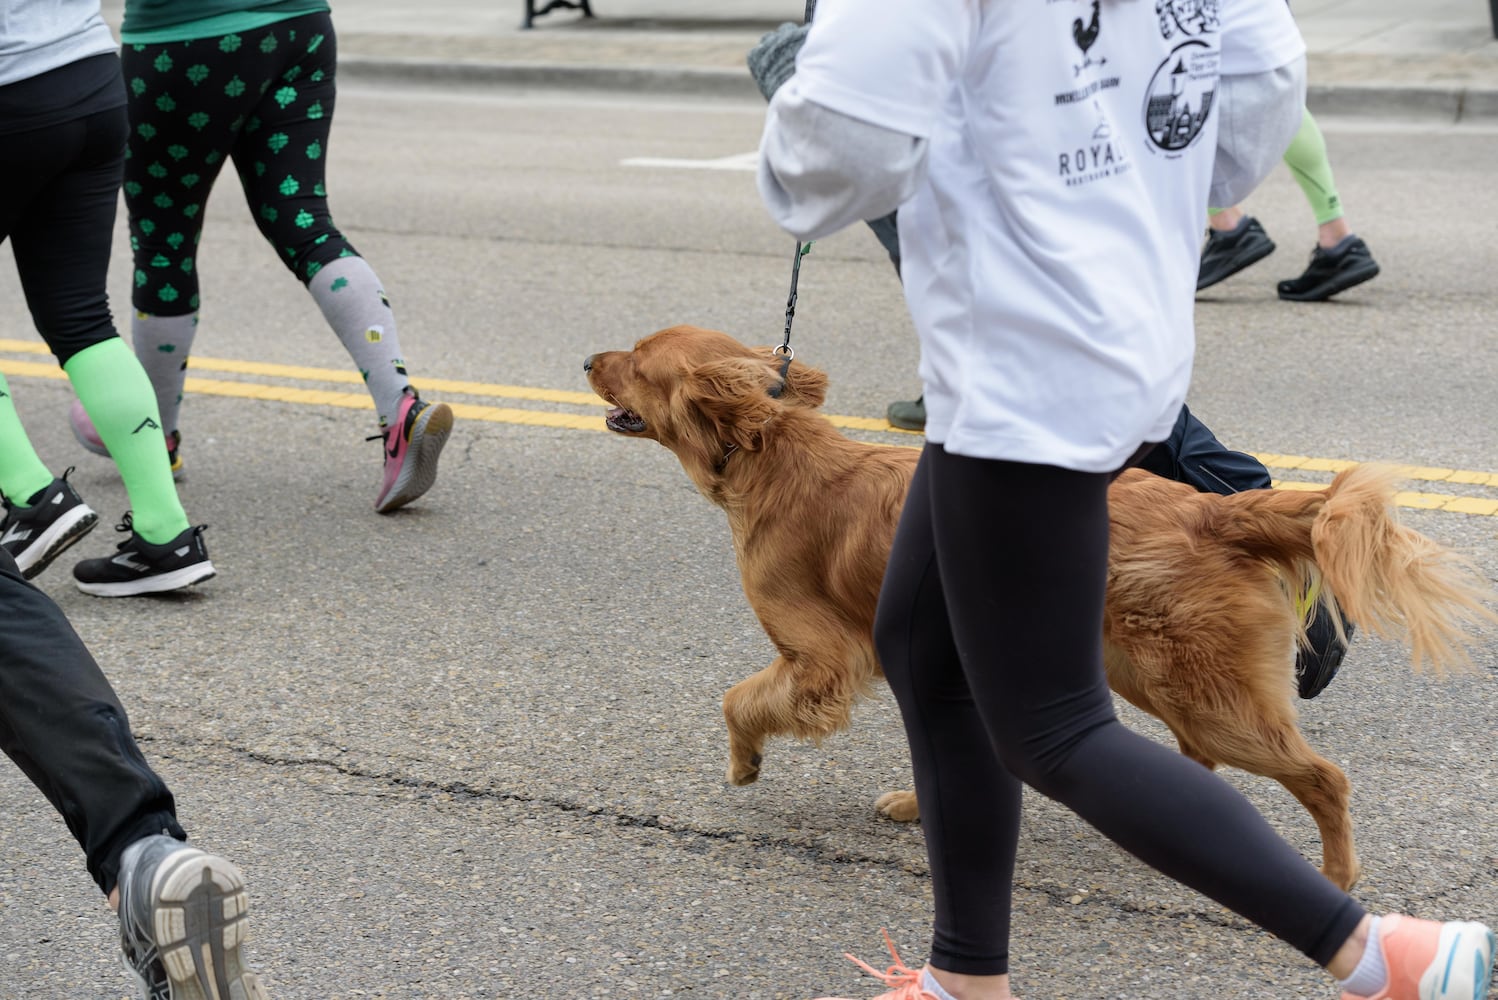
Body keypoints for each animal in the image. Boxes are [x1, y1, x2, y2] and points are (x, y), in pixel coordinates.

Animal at [584, 321, 1498, 892]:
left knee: (1324, 777)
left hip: (1202, 688)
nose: (589, 357)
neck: (769, 453)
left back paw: (1338, 877)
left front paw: (744, 764)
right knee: (1198, 763)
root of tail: (1214, 510)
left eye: (639, 358)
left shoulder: (820, 657)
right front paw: (920, 805)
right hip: (1152, 673)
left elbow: (738, 699)